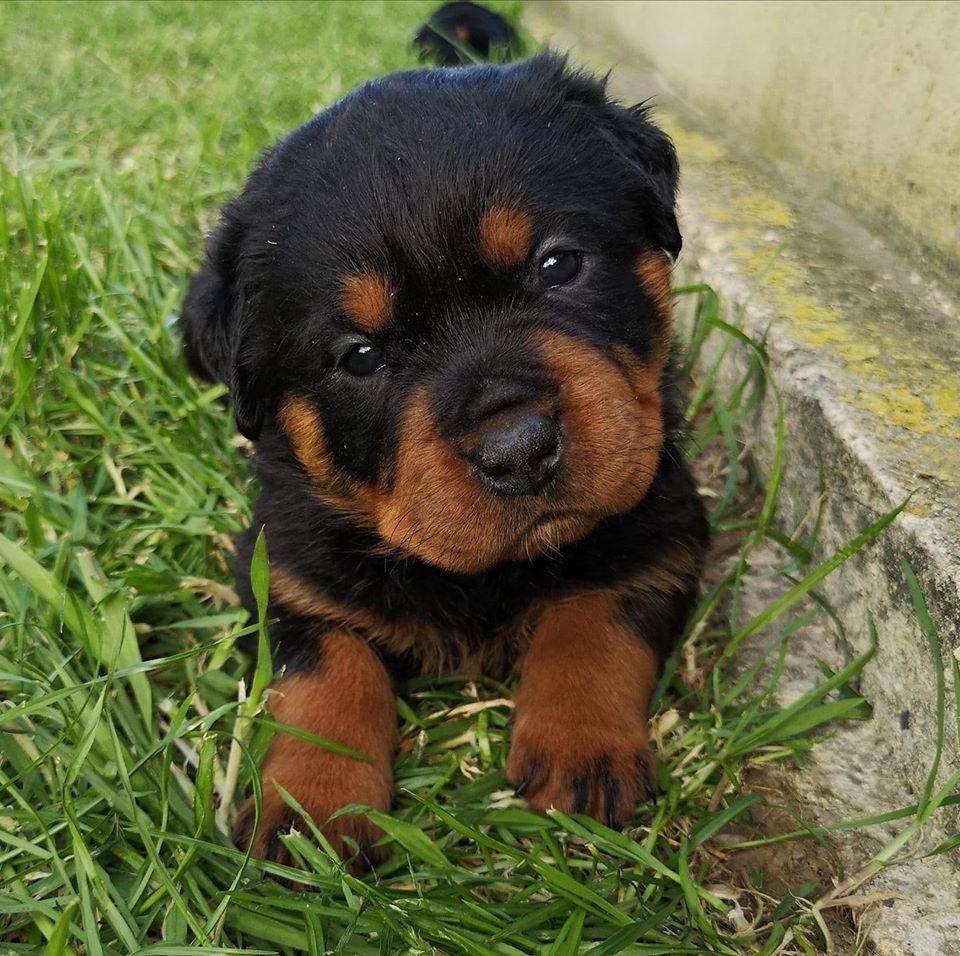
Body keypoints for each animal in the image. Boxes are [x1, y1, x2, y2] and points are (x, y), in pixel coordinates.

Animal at [181, 5, 709, 872]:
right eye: (359, 357)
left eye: (559, 265)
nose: (519, 448)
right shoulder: (282, 566)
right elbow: (326, 668)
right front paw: (314, 801)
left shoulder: (662, 523)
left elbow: (594, 614)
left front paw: (582, 747)